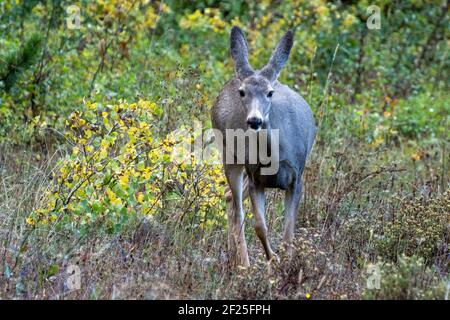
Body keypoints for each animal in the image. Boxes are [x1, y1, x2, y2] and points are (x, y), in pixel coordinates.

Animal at [212, 26, 314, 268]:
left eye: (270, 92)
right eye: (242, 92)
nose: (254, 120)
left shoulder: (297, 178)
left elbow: (289, 233)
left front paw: (286, 264)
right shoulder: (256, 179)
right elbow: (260, 226)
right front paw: (273, 260)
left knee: (229, 196)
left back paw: (234, 258)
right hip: (230, 156)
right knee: (236, 206)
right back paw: (243, 263)